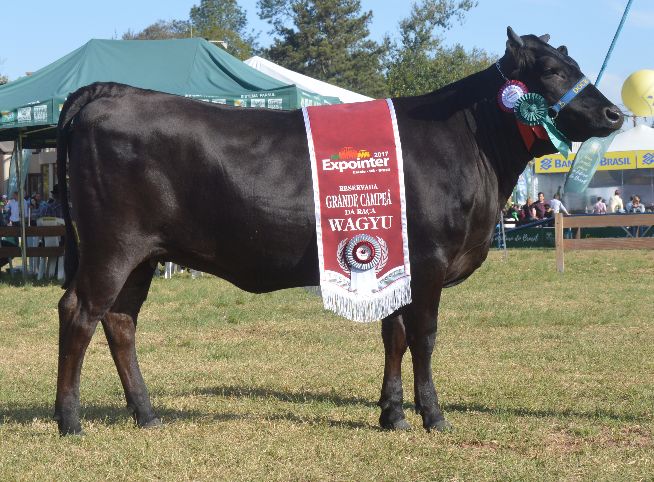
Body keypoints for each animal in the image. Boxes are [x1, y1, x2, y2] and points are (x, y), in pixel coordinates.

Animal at [53, 26, 624, 434]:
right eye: (551, 68)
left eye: (572, 63)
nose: (615, 113)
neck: (472, 144)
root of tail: (114, 92)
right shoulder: (430, 259)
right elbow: (423, 336)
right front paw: (434, 416)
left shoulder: (398, 259)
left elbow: (393, 334)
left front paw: (392, 415)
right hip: (112, 246)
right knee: (79, 312)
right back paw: (70, 419)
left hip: (142, 254)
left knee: (120, 321)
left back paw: (146, 413)